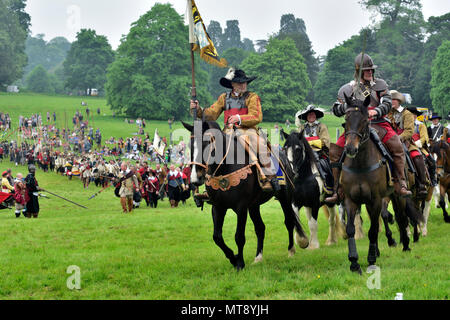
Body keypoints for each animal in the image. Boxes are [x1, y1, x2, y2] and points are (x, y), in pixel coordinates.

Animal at [183, 120, 310, 270]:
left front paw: (240, 263)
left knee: (289, 221)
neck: (226, 168)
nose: (195, 178)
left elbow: (239, 236)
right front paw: (233, 258)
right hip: (254, 205)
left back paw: (291, 250)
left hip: (284, 197)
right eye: (190, 145)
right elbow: (217, 237)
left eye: (207, 143)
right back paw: (258, 257)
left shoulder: (241, 207)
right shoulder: (218, 207)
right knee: (260, 228)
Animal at [342, 94, 422, 274]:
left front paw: (371, 260)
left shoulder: (376, 200)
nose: (350, 148)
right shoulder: (351, 200)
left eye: (365, 120)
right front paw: (354, 261)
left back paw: (406, 244)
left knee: (401, 217)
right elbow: (351, 229)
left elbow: (373, 230)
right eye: (346, 119)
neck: (360, 164)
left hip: (398, 195)